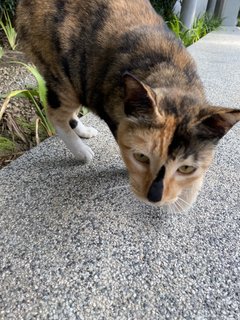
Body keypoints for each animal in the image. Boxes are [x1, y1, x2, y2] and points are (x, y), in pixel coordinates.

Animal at [16, 0, 240, 211]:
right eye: (141, 156)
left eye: (185, 168)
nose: (154, 197)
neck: (169, 73)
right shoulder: (114, 117)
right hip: (64, 75)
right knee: (55, 113)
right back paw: (81, 151)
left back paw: (84, 131)